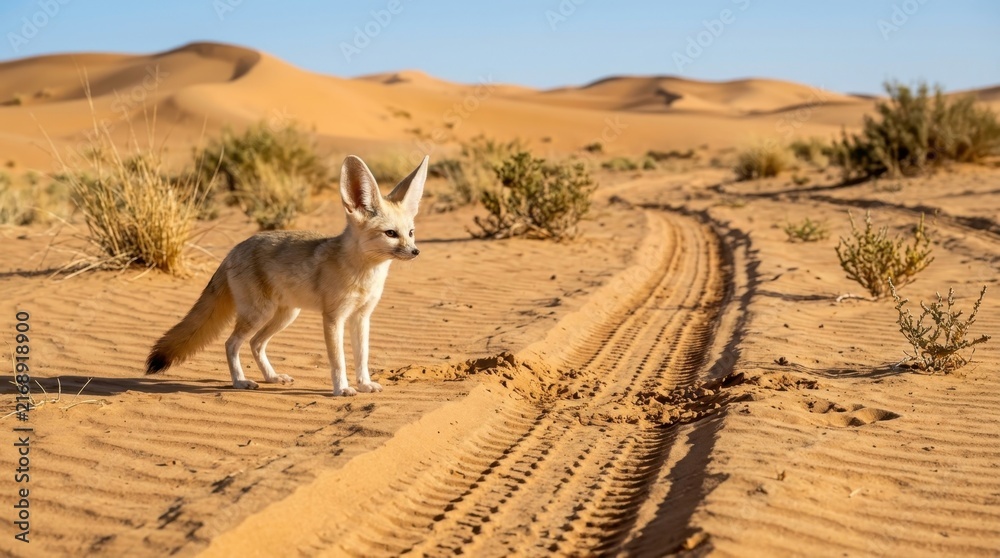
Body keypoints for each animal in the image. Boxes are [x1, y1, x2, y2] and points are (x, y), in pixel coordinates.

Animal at [145, 154, 428, 396]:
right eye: (390, 233)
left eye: (411, 232)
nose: (415, 252)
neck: (365, 274)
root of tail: (234, 249)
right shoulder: (333, 317)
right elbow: (338, 360)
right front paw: (342, 389)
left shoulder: (361, 317)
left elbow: (362, 357)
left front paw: (365, 384)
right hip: (259, 314)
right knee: (231, 343)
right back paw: (240, 381)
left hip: (285, 315)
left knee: (255, 344)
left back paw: (271, 377)